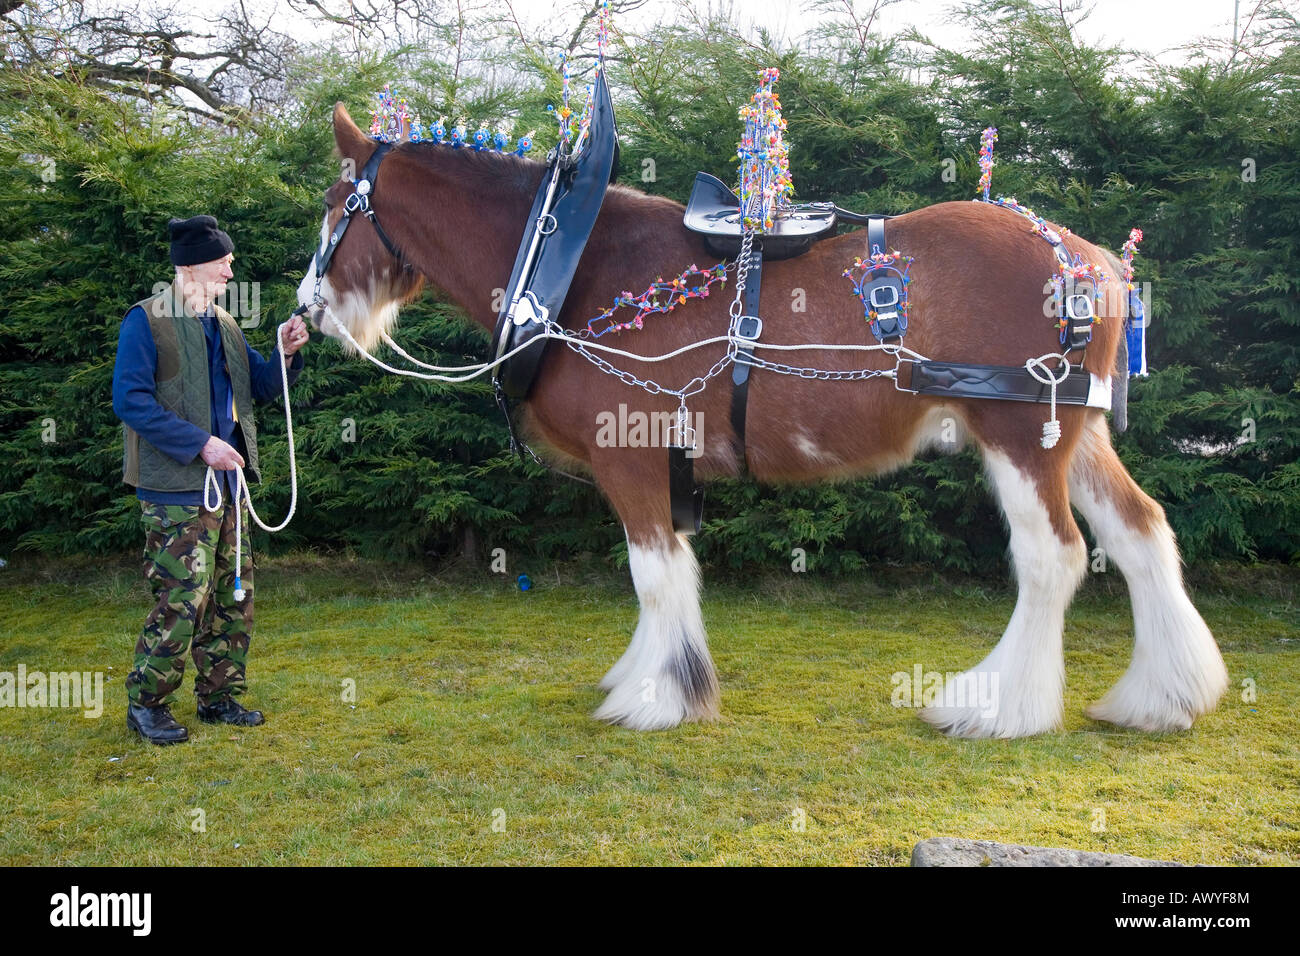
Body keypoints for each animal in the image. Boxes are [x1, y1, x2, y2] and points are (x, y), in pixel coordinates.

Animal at [297, 100, 1227, 738]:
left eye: (338, 201)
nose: (305, 308)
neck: (566, 263)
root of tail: (1093, 260)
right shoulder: (662, 466)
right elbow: (670, 575)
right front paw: (651, 677)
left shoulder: (630, 454)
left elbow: (653, 574)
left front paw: (656, 698)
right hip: (1077, 432)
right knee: (1141, 533)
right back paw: (1161, 695)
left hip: (1016, 431)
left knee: (1053, 557)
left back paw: (1000, 707)